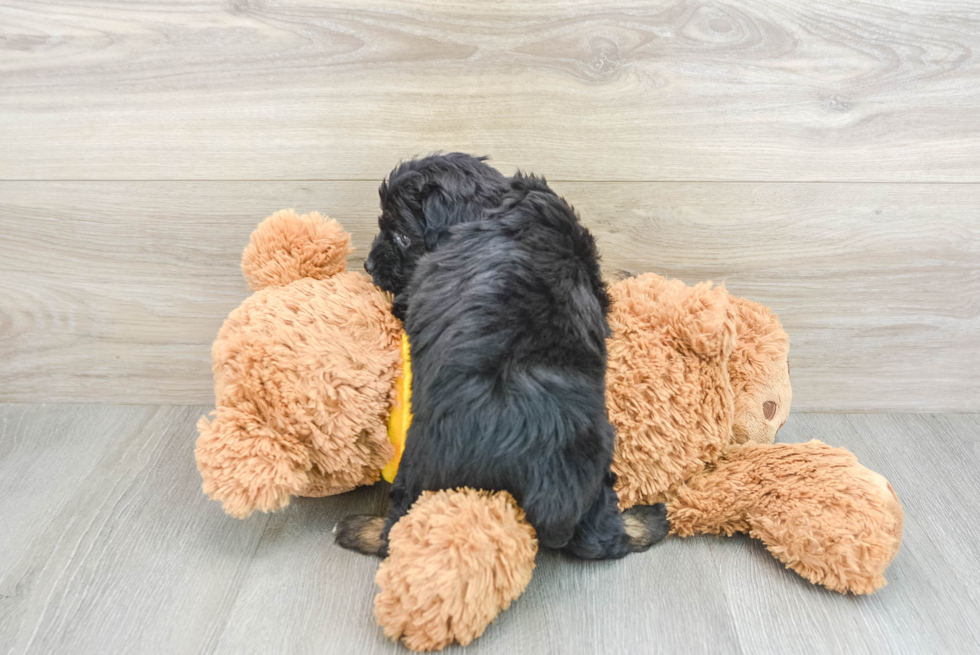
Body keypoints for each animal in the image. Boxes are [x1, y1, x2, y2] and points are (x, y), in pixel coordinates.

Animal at [340, 155, 668, 560]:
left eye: (400, 235)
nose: (368, 265)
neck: (492, 204)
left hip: (421, 468)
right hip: (597, 452)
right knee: (601, 534)